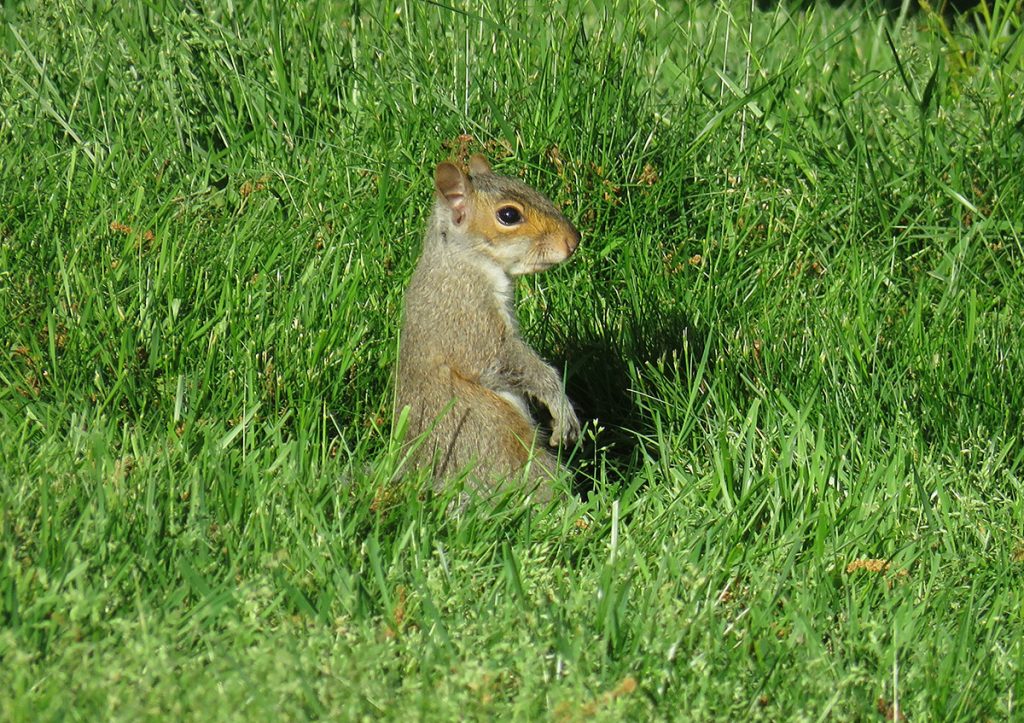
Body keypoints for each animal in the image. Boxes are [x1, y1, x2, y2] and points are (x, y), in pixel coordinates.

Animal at [393, 153, 581, 501]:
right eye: (509, 215)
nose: (573, 240)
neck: (465, 261)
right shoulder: (467, 317)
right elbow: (497, 359)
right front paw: (560, 404)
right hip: (501, 443)